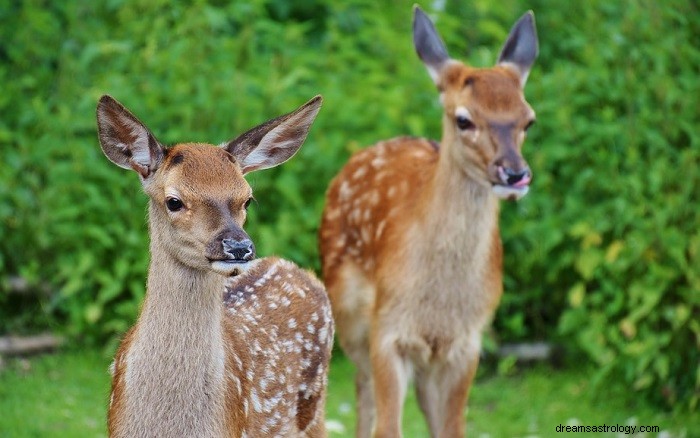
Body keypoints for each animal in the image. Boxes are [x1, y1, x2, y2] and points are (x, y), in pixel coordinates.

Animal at [320, 6, 540, 438]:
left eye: (528, 120)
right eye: (463, 119)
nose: (514, 174)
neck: (439, 303)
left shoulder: (467, 342)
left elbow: (452, 428)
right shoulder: (388, 330)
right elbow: (387, 427)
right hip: (349, 314)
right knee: (362, 390)